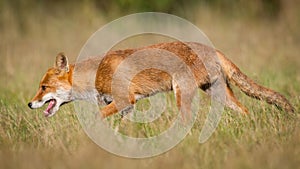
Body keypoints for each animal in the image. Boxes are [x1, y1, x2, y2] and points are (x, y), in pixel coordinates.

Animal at [28, 41, 296, 117]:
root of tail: (211, 47)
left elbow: (97, 118)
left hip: (181, 93)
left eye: (43, 87)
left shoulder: (125, 100)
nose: (29, 104)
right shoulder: (125, 107)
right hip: (218, 94)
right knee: (246, 111)